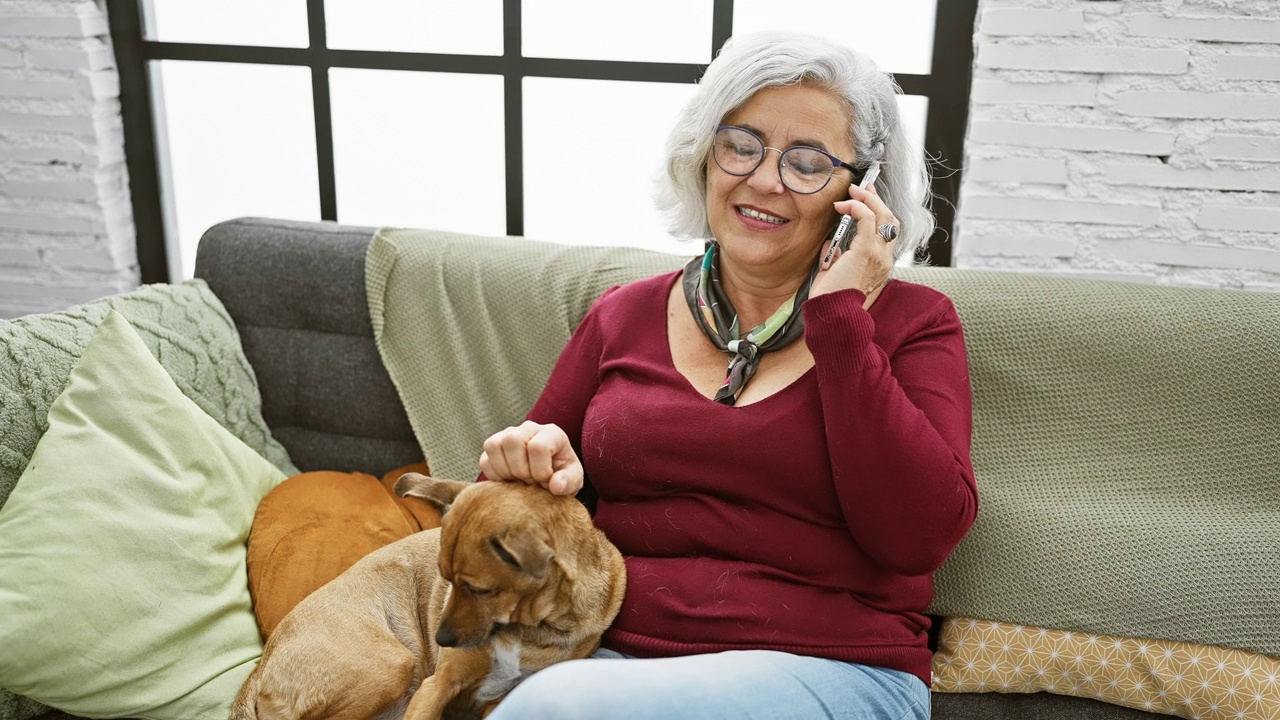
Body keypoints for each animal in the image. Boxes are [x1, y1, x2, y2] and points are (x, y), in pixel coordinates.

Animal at [232, 471, 632, 717]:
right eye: (446, 579)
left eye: (479, 590)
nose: (440, 640)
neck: (526, 629)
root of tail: (261, 666)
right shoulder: (437, 685)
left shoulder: (499, 699)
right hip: (392, 664)